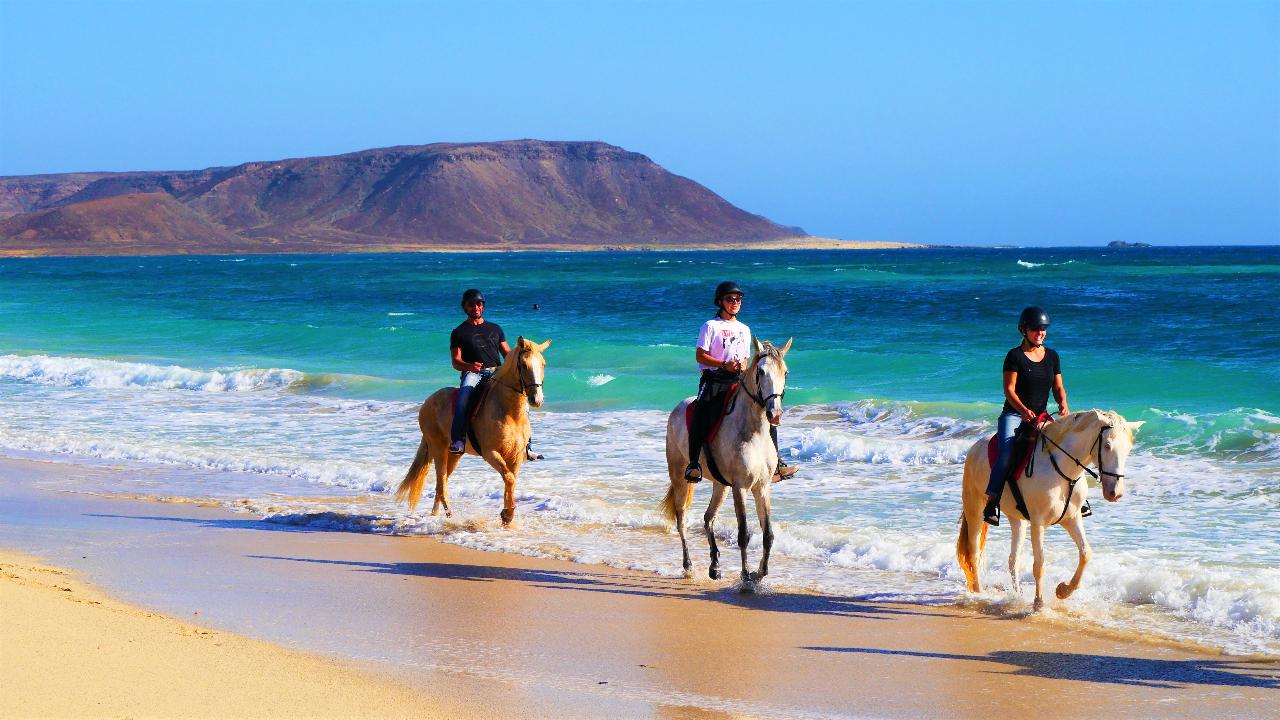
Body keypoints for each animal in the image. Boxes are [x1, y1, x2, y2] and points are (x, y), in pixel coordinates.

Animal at [391, 333, 547, 525]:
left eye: (543, 364)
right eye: (524, 365)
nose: (537, 399)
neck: (509, 412)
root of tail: (428, 401)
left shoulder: (516, 455)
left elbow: (510, 479)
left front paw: (507, 517)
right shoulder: (490, 453)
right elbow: (509, 478)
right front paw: (508, 514)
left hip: (454, 454)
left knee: (441, 482)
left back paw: (435, 515)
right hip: (438, 448)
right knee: (441, 481)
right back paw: (448, 514)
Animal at [660, 335, 788, 584]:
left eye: (785, 372)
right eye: (761, 372)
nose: (775, 414)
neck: (753, 430)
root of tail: (678, 407)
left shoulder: (762, 487)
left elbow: (768, 534)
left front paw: (760, 573)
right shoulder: (740, 487)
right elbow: (743, 533)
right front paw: (746, 576)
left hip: (721, 485)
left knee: (709, 518)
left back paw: (715, 566)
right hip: (680, 477)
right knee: (682, 520)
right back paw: (688, 565)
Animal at [957, 407, 1146, 607]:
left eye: (1128, 449)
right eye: (1107, 446)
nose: (1115, 493)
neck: (1062, 469)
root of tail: (975, 447)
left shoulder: (1072, 519)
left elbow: (1086, 553)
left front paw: (1063, 590)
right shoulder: (1038, 522)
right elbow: (1039, 564)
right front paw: (1039, 604)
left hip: (1017, 520)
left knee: (1013, 560)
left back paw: (1017, 595)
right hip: (975, 510)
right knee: (974, 552)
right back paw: (979, 593)